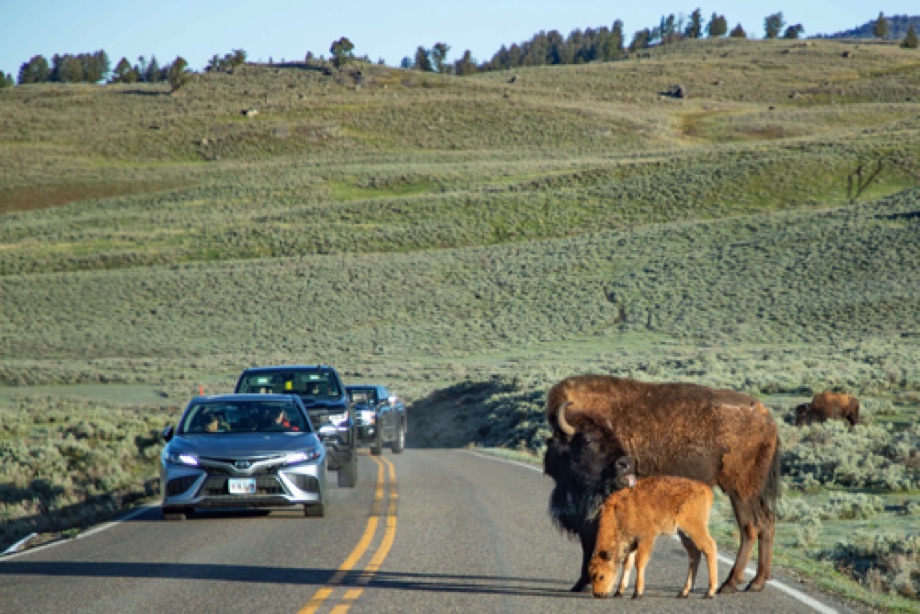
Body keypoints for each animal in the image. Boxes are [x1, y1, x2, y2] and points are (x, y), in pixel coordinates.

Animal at [588, 476, 720, 600]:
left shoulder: (646, 537)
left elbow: (639, 562)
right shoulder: (632, 541)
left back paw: (710, 592)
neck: (618, 512)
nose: (598, 594)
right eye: (591, 575)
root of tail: (705, 489)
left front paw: (637, 593)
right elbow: (627, 564)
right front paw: (619, 592)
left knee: (709, 547)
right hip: (683, 533)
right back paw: (684, 592)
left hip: (694, 527)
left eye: (601, 576)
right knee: (695, 554)